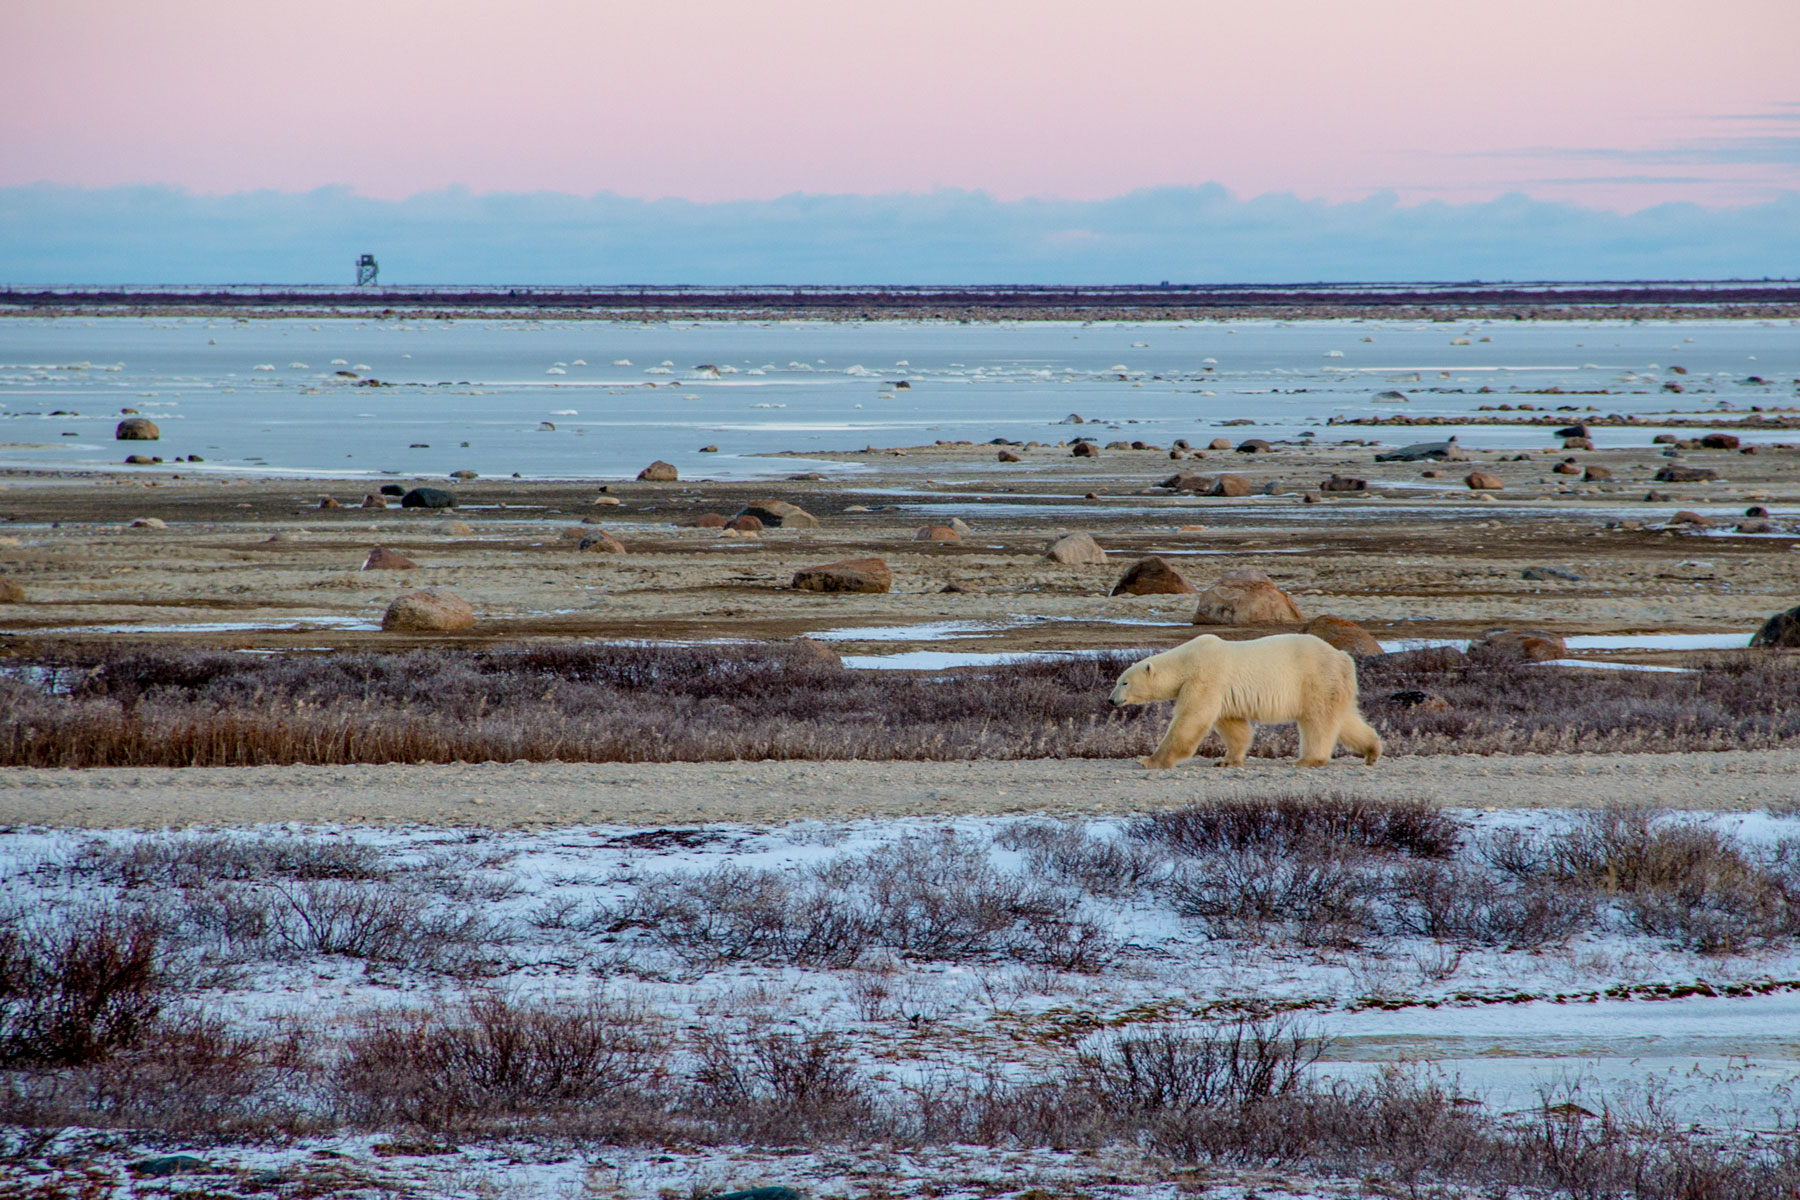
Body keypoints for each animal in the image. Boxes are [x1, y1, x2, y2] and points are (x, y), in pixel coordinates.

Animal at [1108, 632, 1382, 769]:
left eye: (1124, 682)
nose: (1111, 700)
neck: (1187, 660)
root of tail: (1343, 657)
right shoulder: (1222, 691)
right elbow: (1233, 725)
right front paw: (1226, 760)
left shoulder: (1206, 676)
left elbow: (1191, 719)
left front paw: (1149, 760)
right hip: (1334, 686)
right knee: (1345, 720)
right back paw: (1372, 751)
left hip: (1315, 679)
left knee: (1318, 721)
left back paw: (1308, 759)